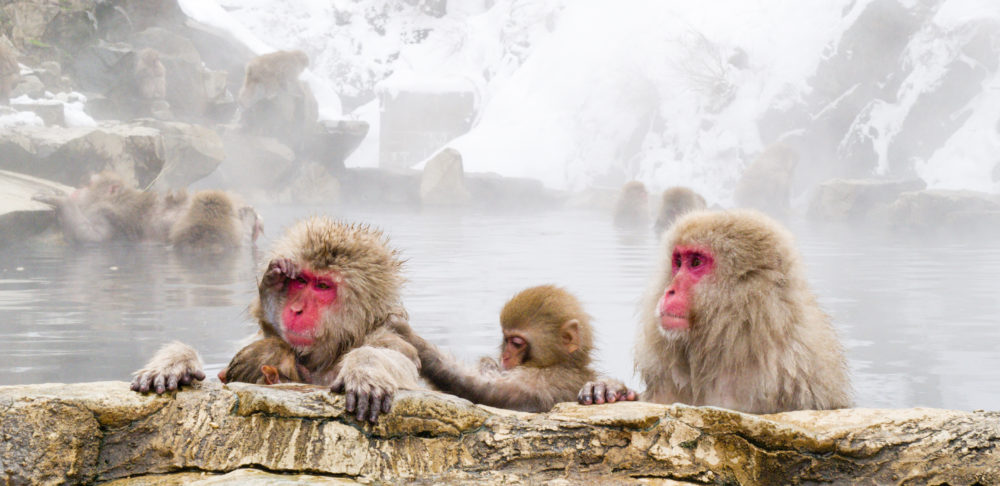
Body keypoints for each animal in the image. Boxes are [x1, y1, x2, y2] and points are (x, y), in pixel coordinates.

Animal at [131, 218, 420, 424]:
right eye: (301, 281)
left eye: (322, 286)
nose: (296, 309)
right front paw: (175, 363)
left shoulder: (386, 338)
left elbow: (397, 359)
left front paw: (365, 368)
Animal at [390, 284, 616, 414]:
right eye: (505, 339)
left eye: (516, 342)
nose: (505, 357)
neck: (563, 363)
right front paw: (489, 364)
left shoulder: (543, 380)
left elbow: (483, 391)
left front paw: (409, 336)